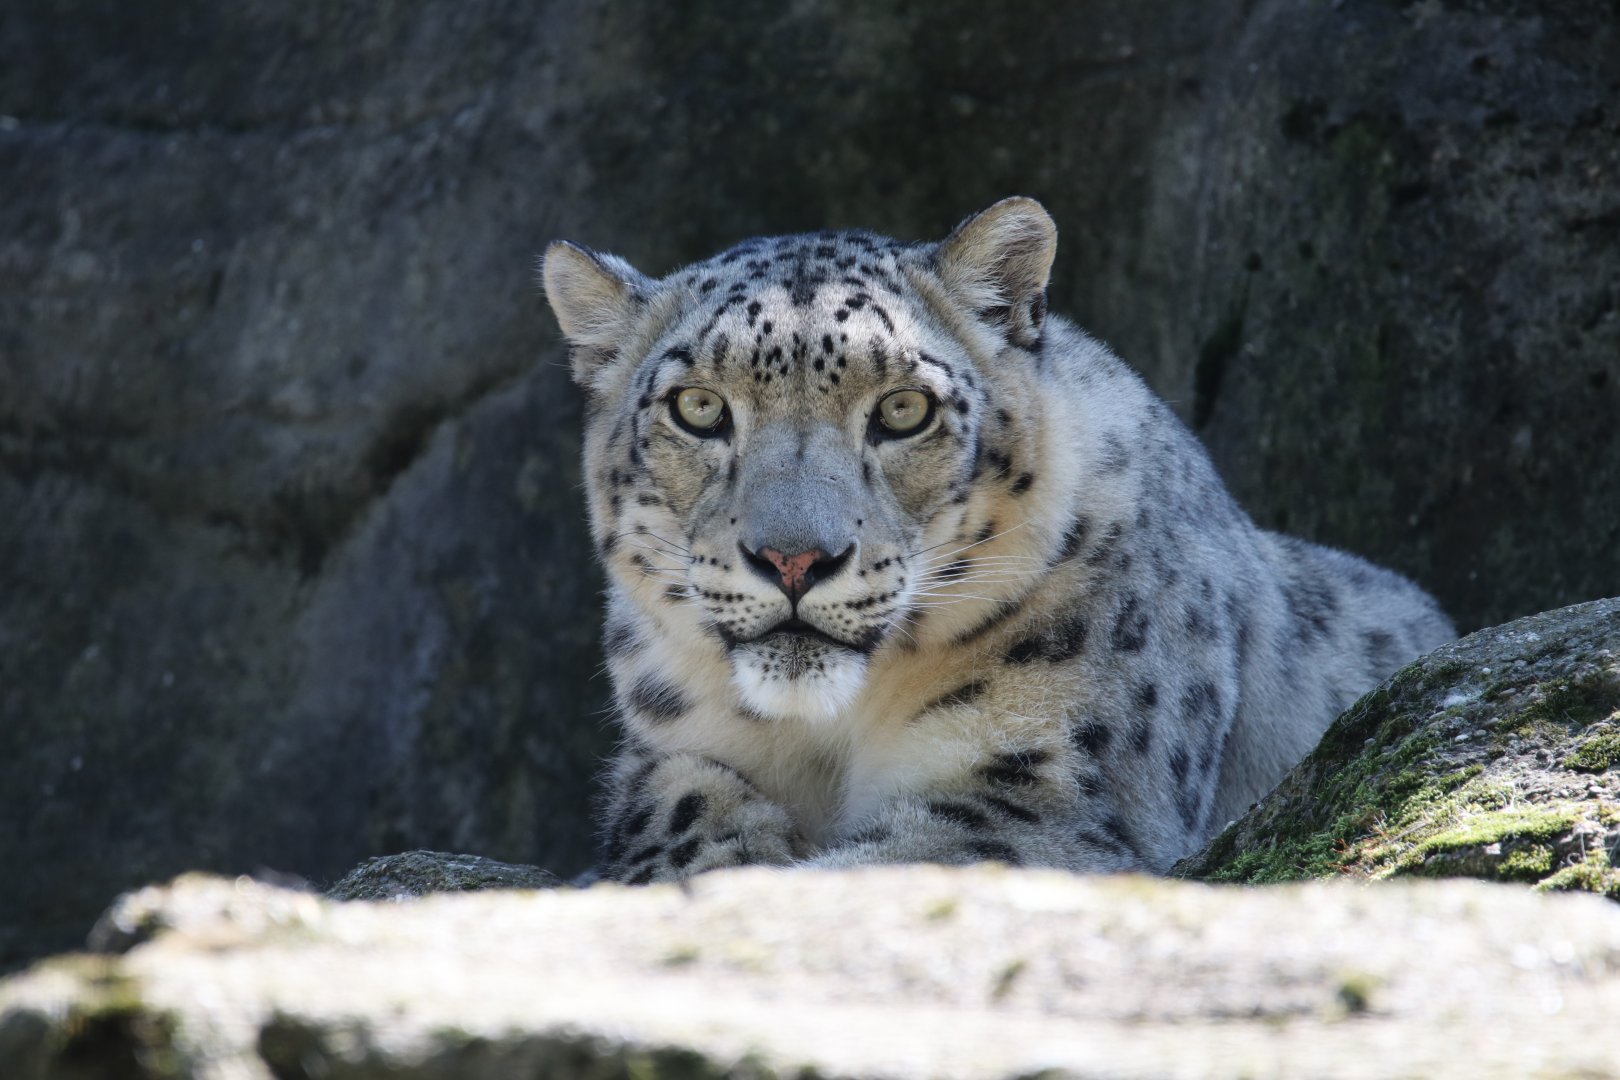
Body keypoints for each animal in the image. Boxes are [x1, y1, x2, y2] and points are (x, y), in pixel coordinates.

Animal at [540, 197, 1455, 884]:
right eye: (698, 408)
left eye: (903, 409)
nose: (794, 560)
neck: (828, 734)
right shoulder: (667, 743)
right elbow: (671, 799)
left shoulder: (1043, 796)